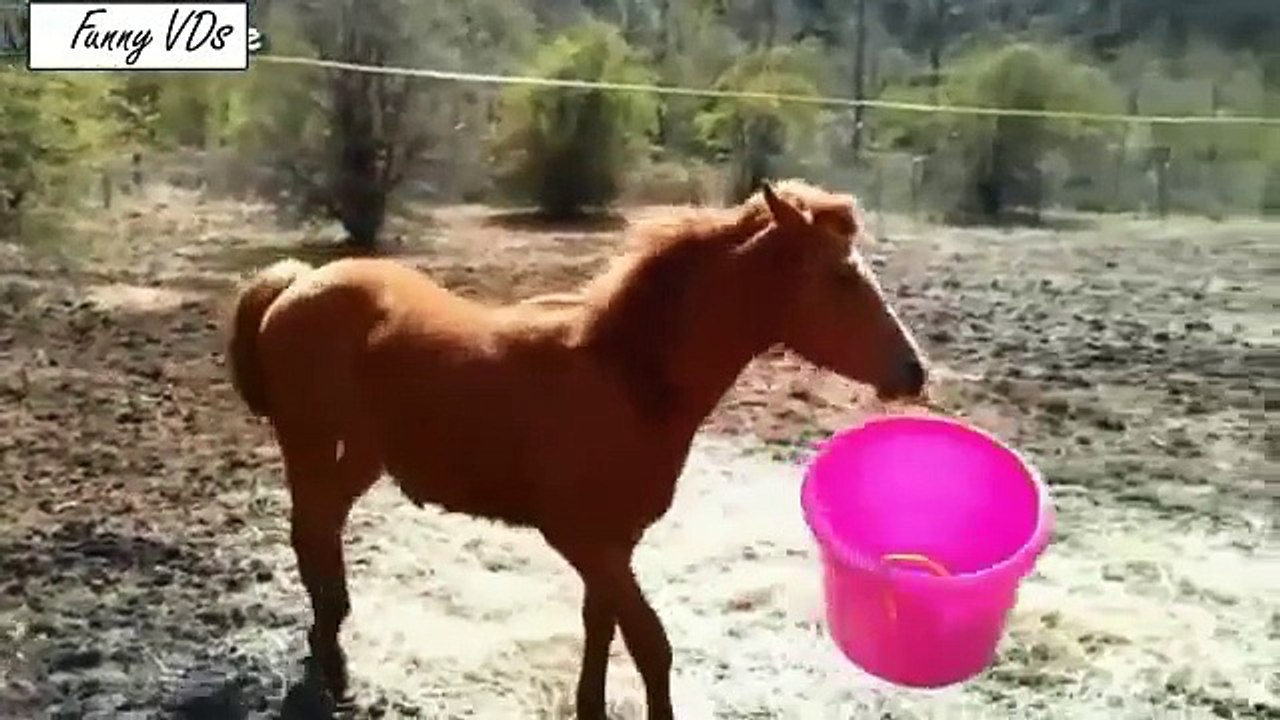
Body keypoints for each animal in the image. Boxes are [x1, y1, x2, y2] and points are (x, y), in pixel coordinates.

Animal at [224, 180, 928, 719]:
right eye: (840, 277)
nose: (914, 371)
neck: (626, 376)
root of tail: (299, 282)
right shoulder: (583, 540)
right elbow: (650, 643)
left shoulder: (615, 544)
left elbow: (601, 626)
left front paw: (590, 706)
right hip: (308, 441)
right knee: (310, 530)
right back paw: (332, 663)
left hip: (360, 455)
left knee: (325, 531)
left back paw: (332, 643)